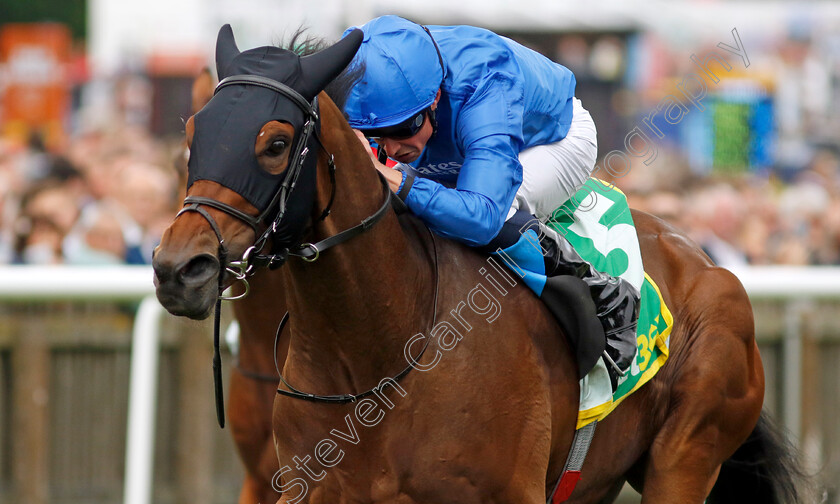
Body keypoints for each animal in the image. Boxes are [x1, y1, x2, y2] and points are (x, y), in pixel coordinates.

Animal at [154, 24, 812, 504]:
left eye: (275, 143)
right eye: (192, 135)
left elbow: (491, 208)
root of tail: (701, 258)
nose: (178, 268)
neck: (379, 358)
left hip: (686, 455)